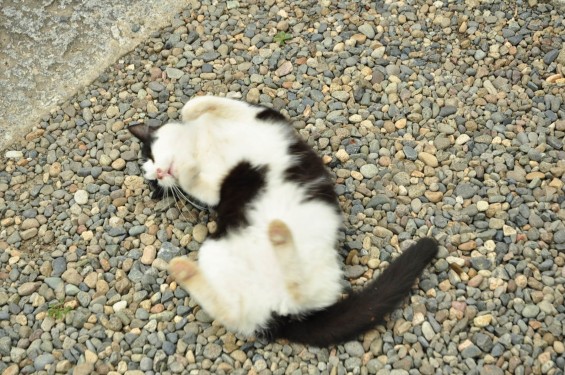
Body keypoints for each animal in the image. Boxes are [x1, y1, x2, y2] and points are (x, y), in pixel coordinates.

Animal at [130, 95, 438, 348]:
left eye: (151, 156)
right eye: (154, 183)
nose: (159, 173)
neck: (200, 147)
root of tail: (280, 316)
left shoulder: (260, 116)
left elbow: (196, 104)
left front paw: (189, 123)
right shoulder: (213, 191)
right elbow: (197, 180)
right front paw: (188, 170)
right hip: (218, 256)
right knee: (246, 309)